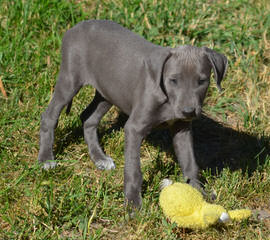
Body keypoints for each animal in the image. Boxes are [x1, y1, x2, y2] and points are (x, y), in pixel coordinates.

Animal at [38, 20, 228, 208]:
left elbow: (190, 164)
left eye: (202, 81)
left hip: (108, 91)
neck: (167, 99)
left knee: (88, 118)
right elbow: (134, 170)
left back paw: (99, 158)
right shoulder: (134, 129)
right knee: (49, 116)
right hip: (70, 79)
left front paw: (199, 193)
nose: (188, 111)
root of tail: (75, 27)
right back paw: (46, 159)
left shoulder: (181, 128)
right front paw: (133, 204)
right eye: (173, 80)